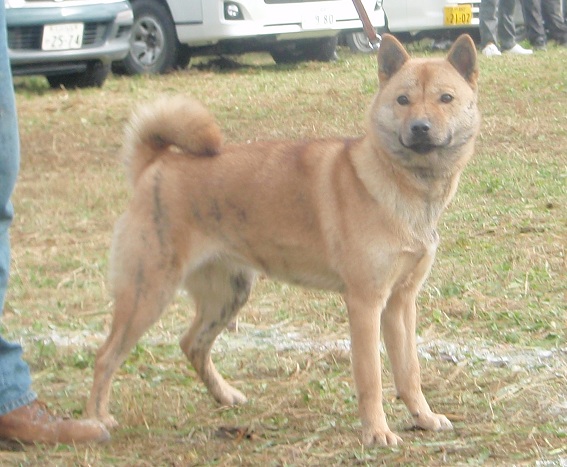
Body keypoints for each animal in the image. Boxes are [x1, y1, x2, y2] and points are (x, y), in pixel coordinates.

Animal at [87, 35, 480, 446]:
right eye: (403, 99)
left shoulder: (401, 303)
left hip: (228, 295)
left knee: (191, 343)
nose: (420, 127)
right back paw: (97, 419)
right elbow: (370, 376)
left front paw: (424, 417)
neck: (400, 184)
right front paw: (376, 432)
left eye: (445, 98)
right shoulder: (366, 303)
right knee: (106, 356)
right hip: (148, 295)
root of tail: (157, 164)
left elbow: (409, 370)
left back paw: (224, 395)